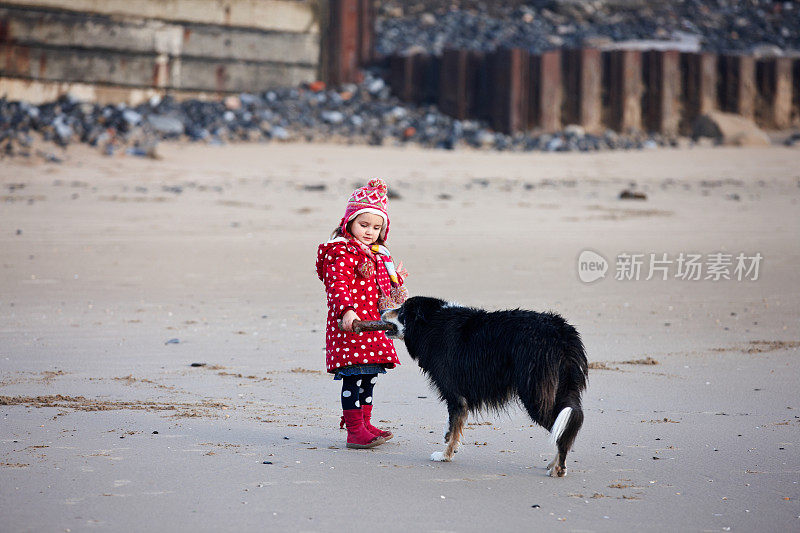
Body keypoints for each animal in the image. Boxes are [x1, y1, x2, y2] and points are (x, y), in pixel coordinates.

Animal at [382, 296, 588, 478]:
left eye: (401, 311)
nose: (382, 310)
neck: (431, 322)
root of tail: (562, 333)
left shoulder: (455, 393)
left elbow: (454, 425)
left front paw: (444, 455)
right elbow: (452, 424)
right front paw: (447, 441)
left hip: (535, 394)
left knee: (563, 428)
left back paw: (558, 469)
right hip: (560, 389)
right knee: (566, 423)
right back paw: (554, 464)